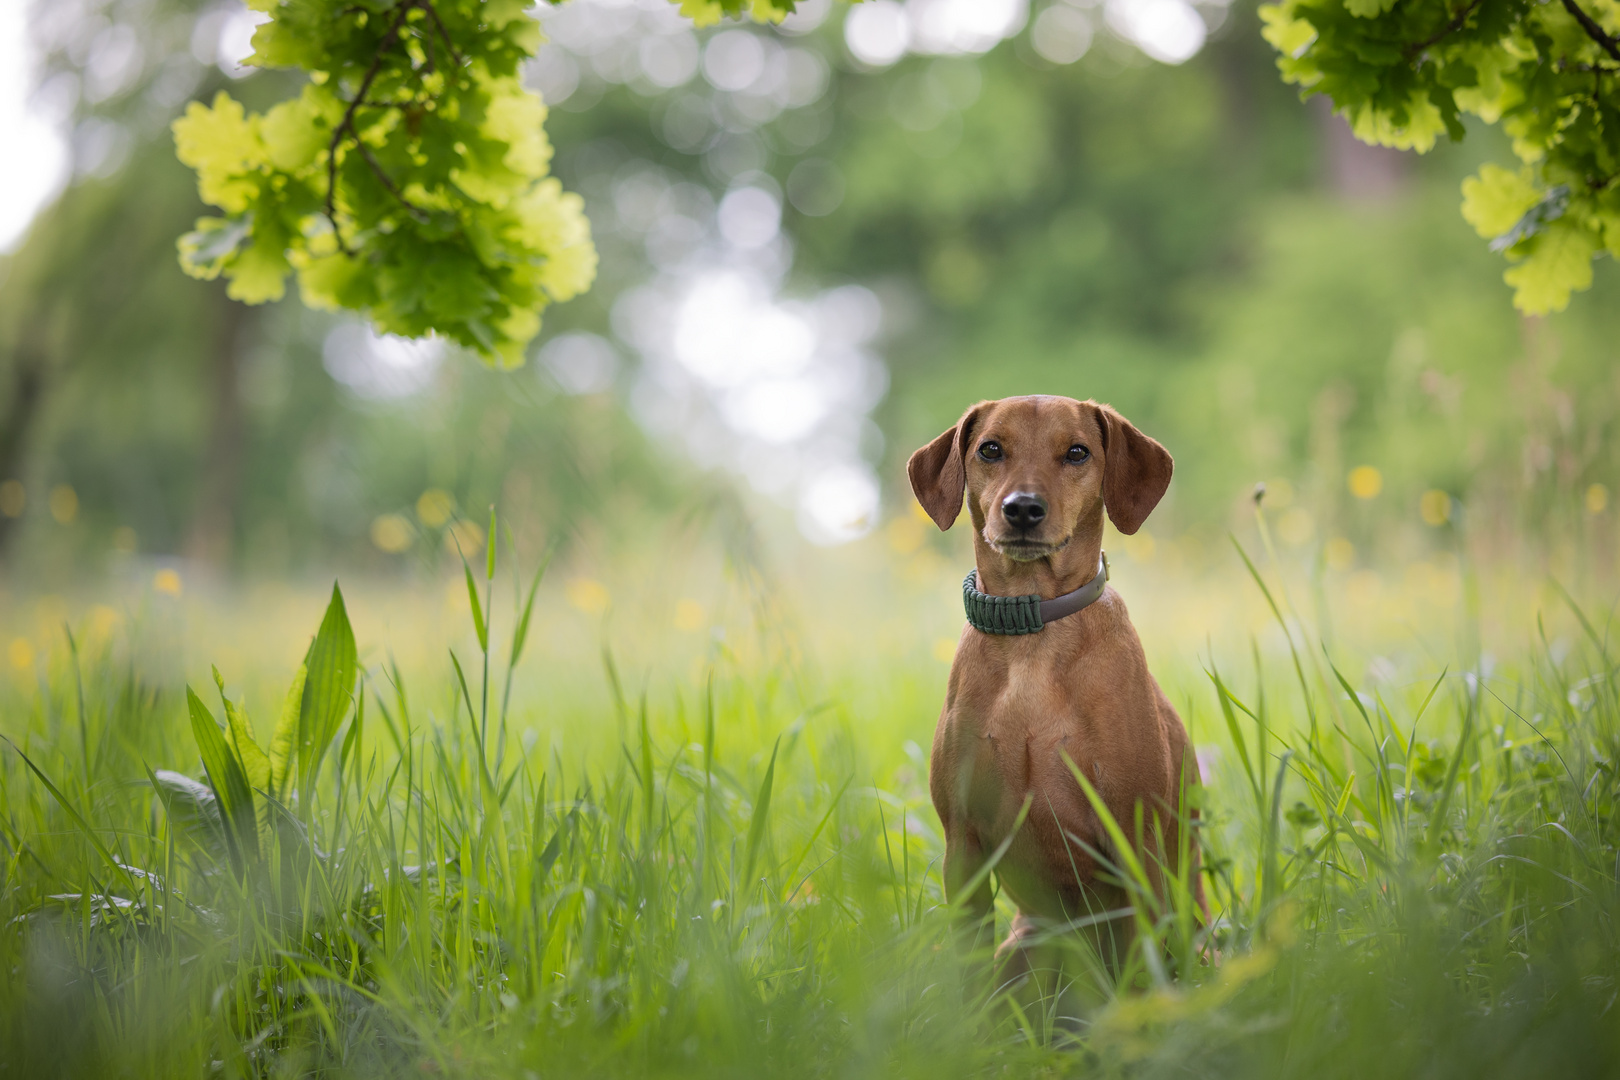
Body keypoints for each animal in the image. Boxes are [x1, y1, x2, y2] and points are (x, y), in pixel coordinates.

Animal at [913, 395, 1205, 990]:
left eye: (1077, 452)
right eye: (990, 449)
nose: (1023, 509)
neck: (1033, 634)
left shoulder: (1134, 846)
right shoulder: (964, 849)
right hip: (1025, 945)